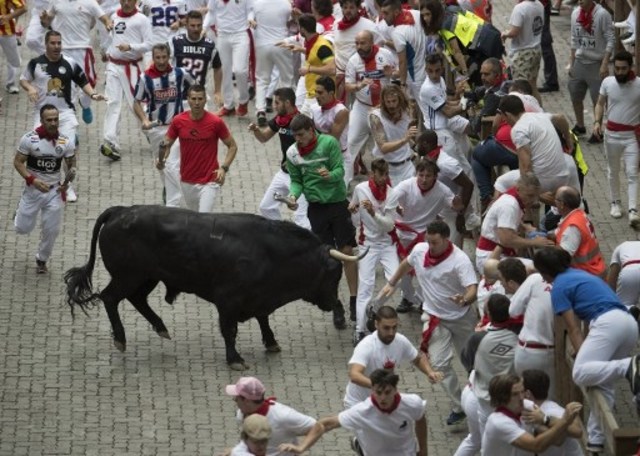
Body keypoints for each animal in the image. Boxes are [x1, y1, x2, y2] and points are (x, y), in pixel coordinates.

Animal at [65, 205, 368, 368]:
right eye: (333, 275)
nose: (333, 304)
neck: (270, 251)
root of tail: (121, 211)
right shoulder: (228, 301)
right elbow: (229, 330)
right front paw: (235, 358)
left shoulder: (259, 298)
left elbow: (263, 319)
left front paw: (271, 343)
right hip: (128, 276)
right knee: (109, 297)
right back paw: (120, 338)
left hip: (146, 278)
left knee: (137, 300)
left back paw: (161, 328)